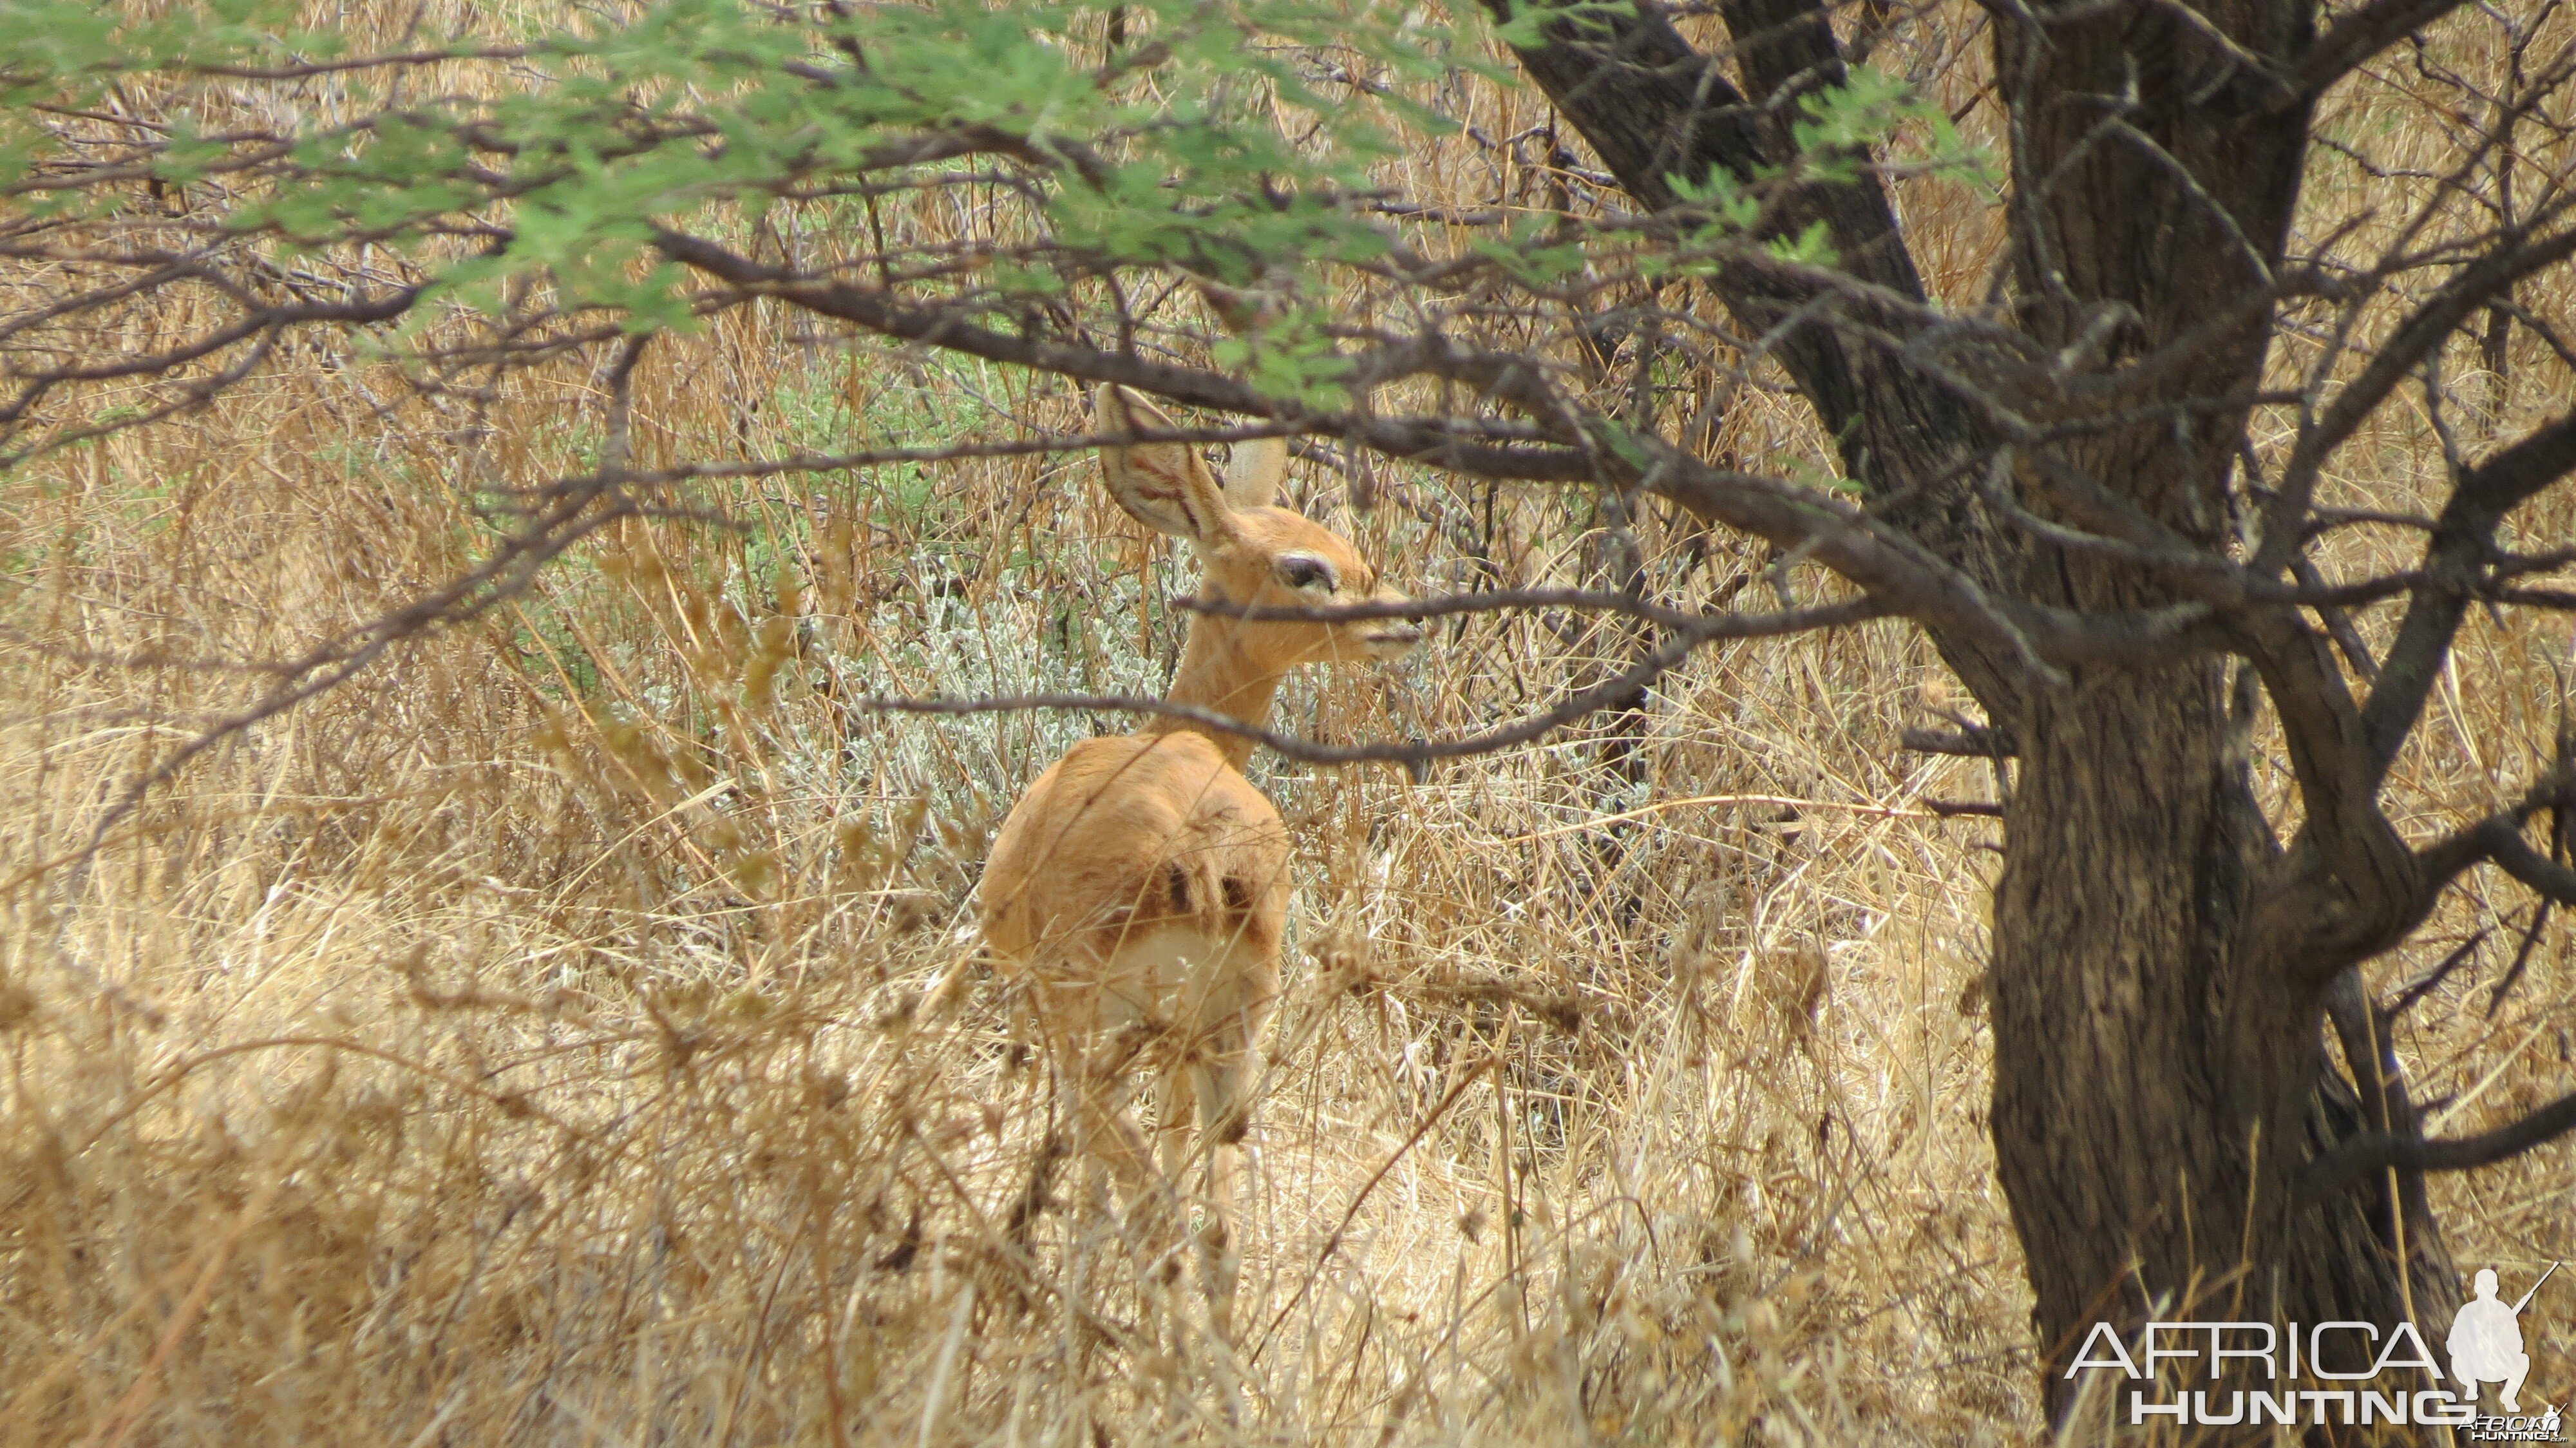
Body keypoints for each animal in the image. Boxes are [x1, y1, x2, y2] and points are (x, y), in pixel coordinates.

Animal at [979, 381, 1422, 1319]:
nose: (1403, 618)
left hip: (1101, 1035)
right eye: (1304, 565)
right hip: (1228, 1030)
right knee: (1216, 1228)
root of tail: (1198, 854)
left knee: (1152, 1215)